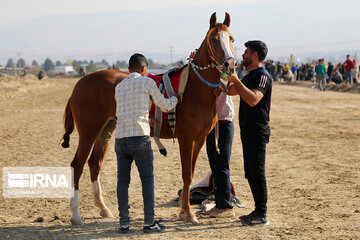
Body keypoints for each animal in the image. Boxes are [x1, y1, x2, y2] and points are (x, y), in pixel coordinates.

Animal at [62, 12, 236, 224]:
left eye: (231, 38)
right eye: (213, 39)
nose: (230, 64)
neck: (193, 89)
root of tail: (79, 85)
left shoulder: (200, 139)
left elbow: (191, 173)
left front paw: (183, 211)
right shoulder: (186, 140)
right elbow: (186, 174)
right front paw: (188, 213)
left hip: (105, 130)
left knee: (94, 164)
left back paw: (103, 208)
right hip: (88, 133)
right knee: (77, 165)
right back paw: (76, 215)